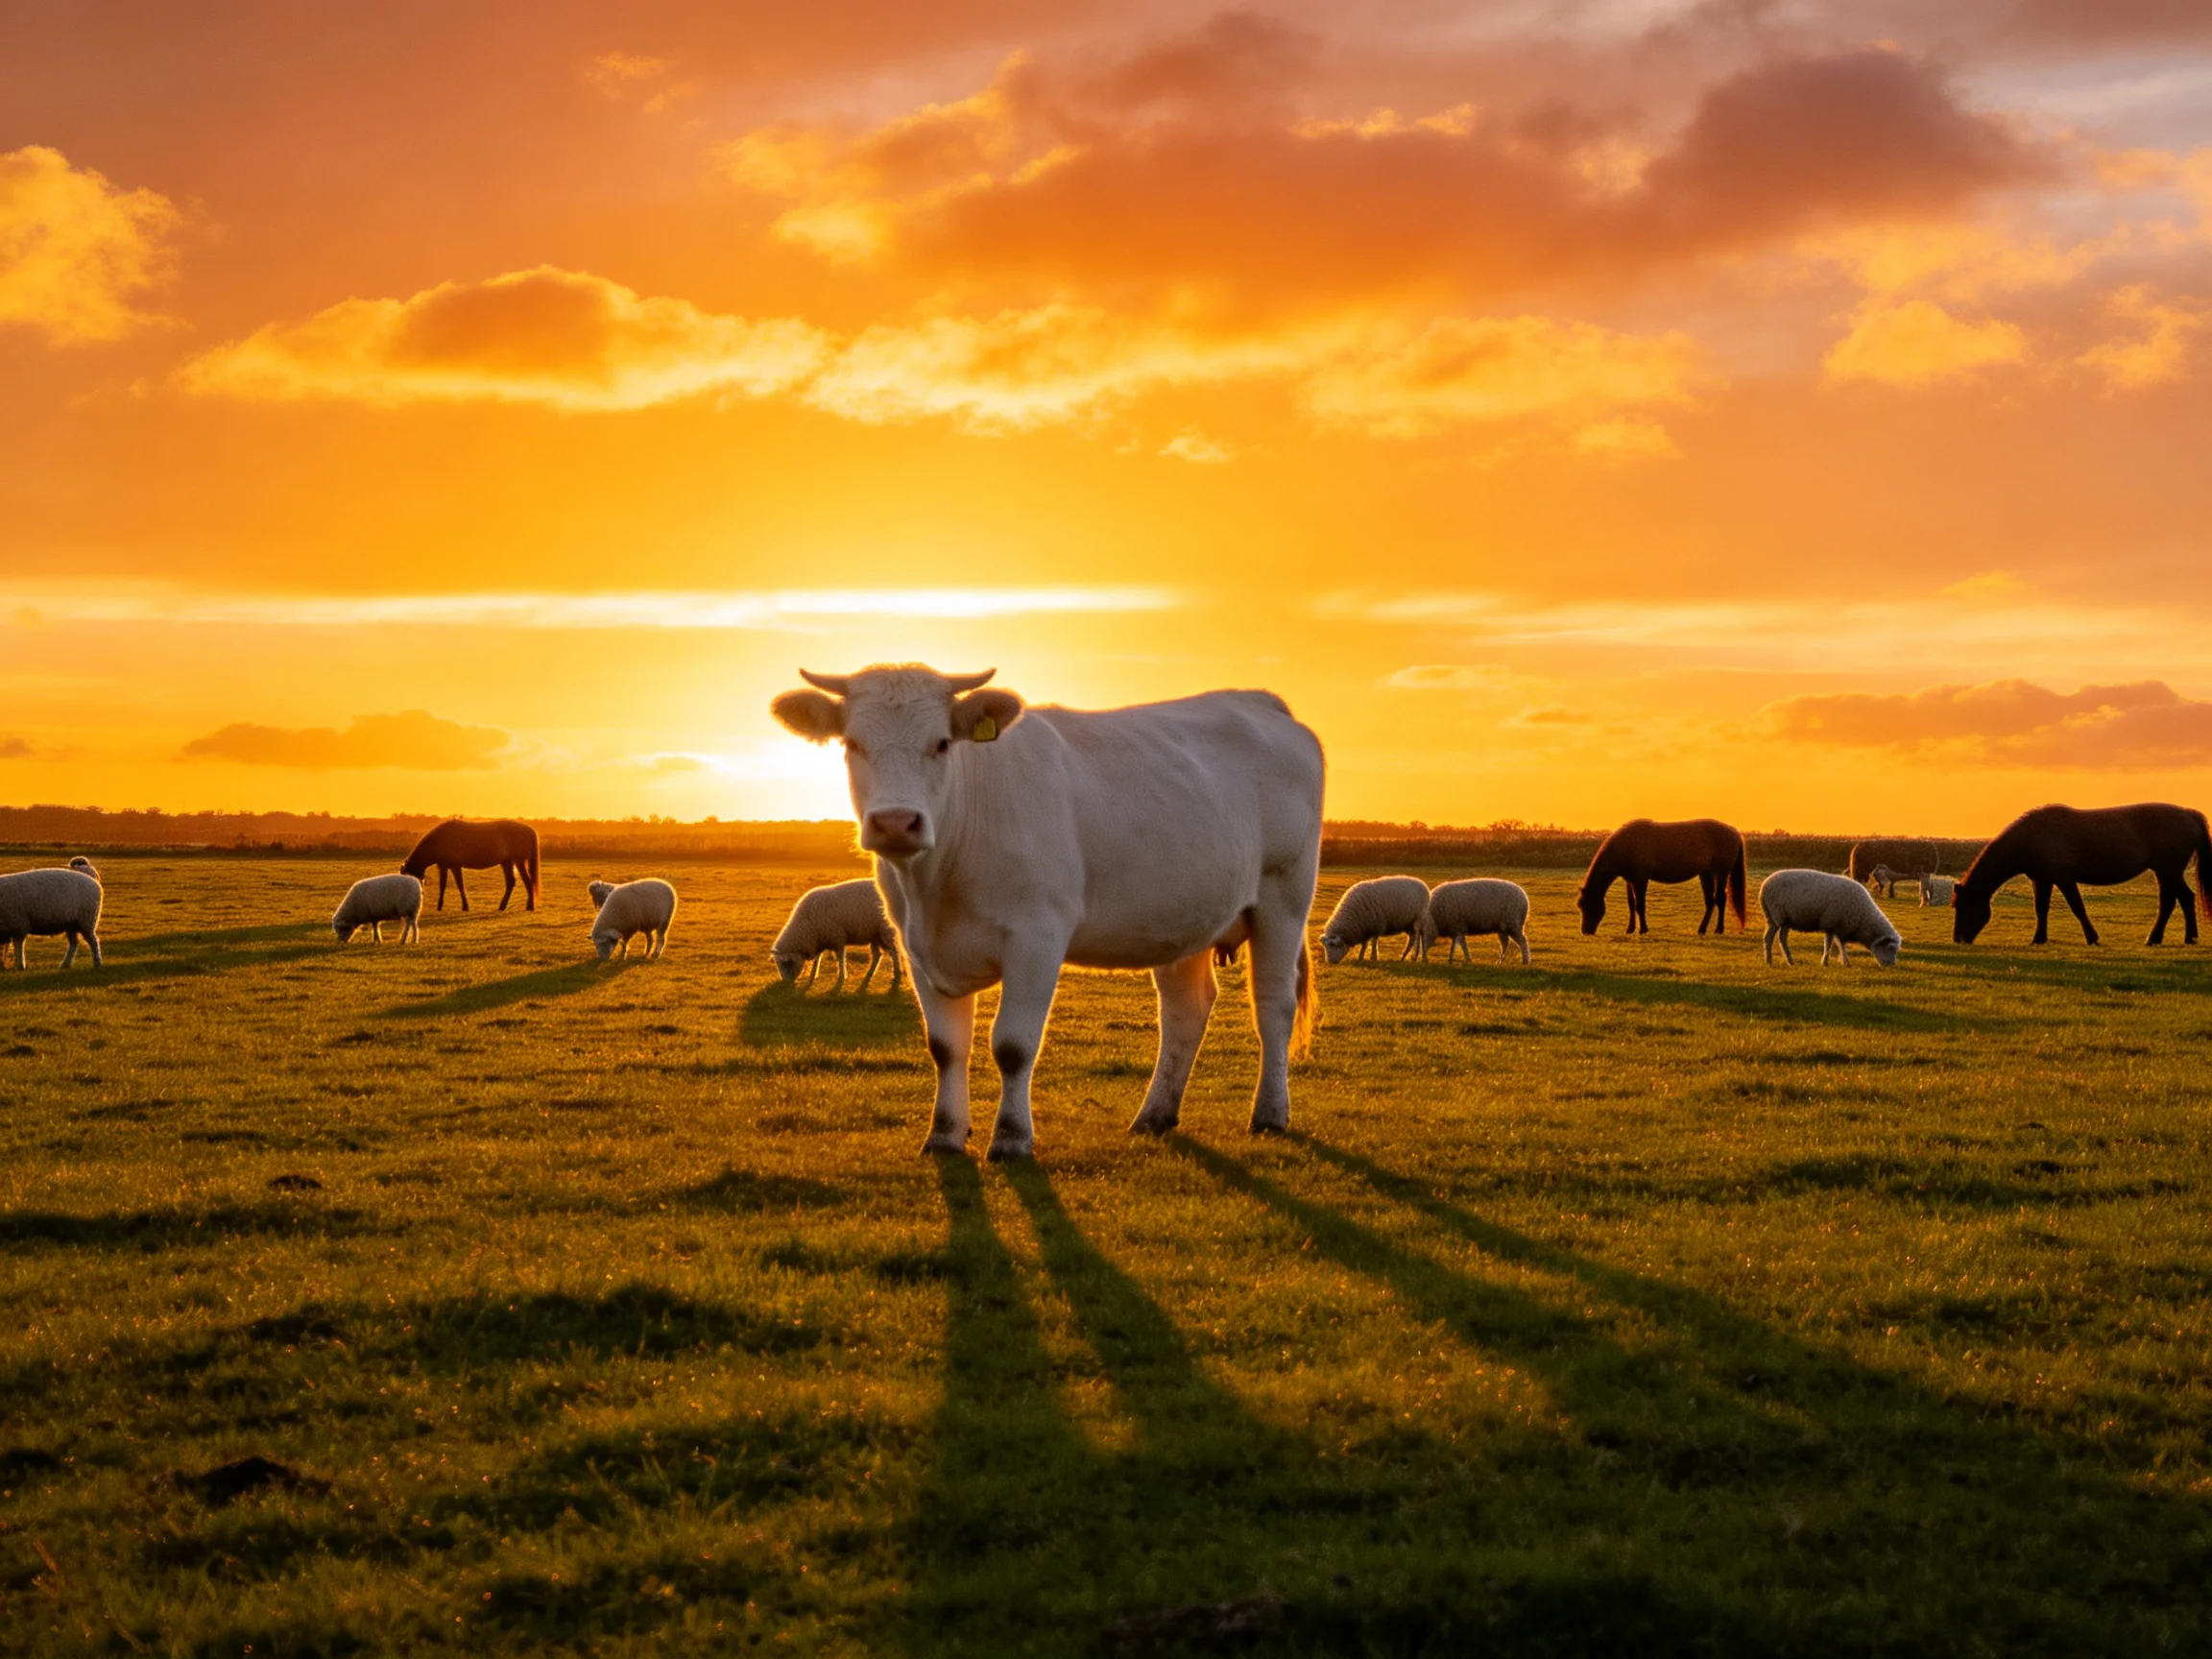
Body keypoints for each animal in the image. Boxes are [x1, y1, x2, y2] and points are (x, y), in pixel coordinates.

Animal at [399, 819, 541, 912]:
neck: (441, 839)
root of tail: (528, 829)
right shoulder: (443, 866)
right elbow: (442, 886)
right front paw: (439, 907)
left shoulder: (455, 866)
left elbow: (460, 885)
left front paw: (465, 907)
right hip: (507, 862)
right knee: (511, 882)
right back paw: (502, 906)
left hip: (518, 861)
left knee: (528, 882)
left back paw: (529, 907)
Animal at [772, 879, 900, 990]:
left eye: (786, 964)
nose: (785, 984)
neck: (806, 925)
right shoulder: (821, 939)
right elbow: (817, 959)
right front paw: (813, 975)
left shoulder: (837, 938)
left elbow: (840, 958)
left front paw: (842, 976)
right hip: (875, 935)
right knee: (877, 955)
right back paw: (870, 973)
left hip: (886, 931)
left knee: (894, 952)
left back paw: (896, 974)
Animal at [1577, 817, 1747, 936]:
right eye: (1581, 906)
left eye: (1589, 906)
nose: (1586, 931)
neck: (1627, 844)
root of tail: (1734, 831)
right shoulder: (1629, 880)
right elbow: (1631, 904)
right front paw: (1630, 929)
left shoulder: (1640, 879)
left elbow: (1640, 905)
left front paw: (1643, 929)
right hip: (1706, 873)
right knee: (1710, 901)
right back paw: (1702, 929)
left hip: (1721, 872)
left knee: (1720, 899)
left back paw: (1719, 929)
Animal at [1759, 869, 1901, 968]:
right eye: (1890, 948)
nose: (1891, 966)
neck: (1863, 919)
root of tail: (1764, 887)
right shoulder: (1832, 923)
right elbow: (1831, 944)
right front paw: (1829, 962)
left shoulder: (1839, 927)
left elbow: (1838, 944)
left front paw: (1841, 962)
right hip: (1779, 915)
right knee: (1774, 938)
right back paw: (1777, 960)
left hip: (1777, 918)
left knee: (1774, 938)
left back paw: (1777, 961)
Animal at [1952, 803, 2212, 946]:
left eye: (1963, 907)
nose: (1958, 939)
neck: (2032, 836)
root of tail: (2188, 814)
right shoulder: (2042, 879)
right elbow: (2041, 909)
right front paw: (2038, 939)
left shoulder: (2064, 878)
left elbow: (2077, 907)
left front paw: (2092, 938)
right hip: (2169, 872)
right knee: (2185, 899)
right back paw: (2189, 938)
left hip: (2167, 871)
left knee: (2170, 902)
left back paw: (2155, 939)